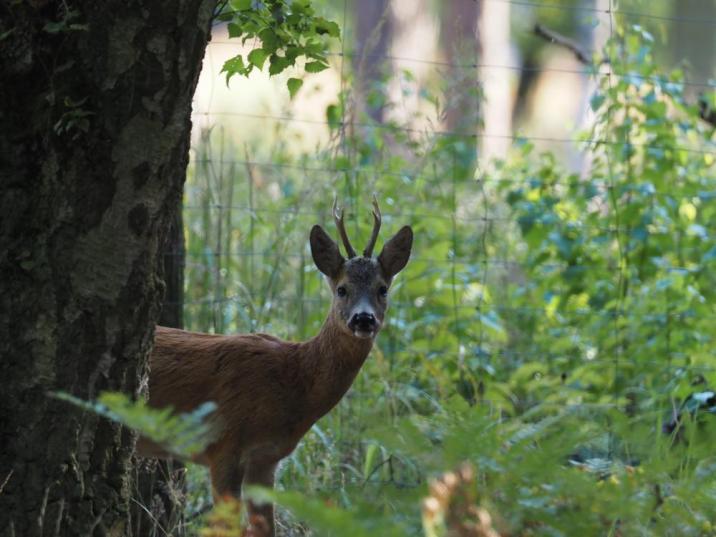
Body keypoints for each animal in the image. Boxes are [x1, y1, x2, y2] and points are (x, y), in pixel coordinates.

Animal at [138, 196, 414, 532]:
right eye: (342, 289)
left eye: (382, 289)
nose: (363, 318)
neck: (294, 381)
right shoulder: (222, 444)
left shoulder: (266, 460)